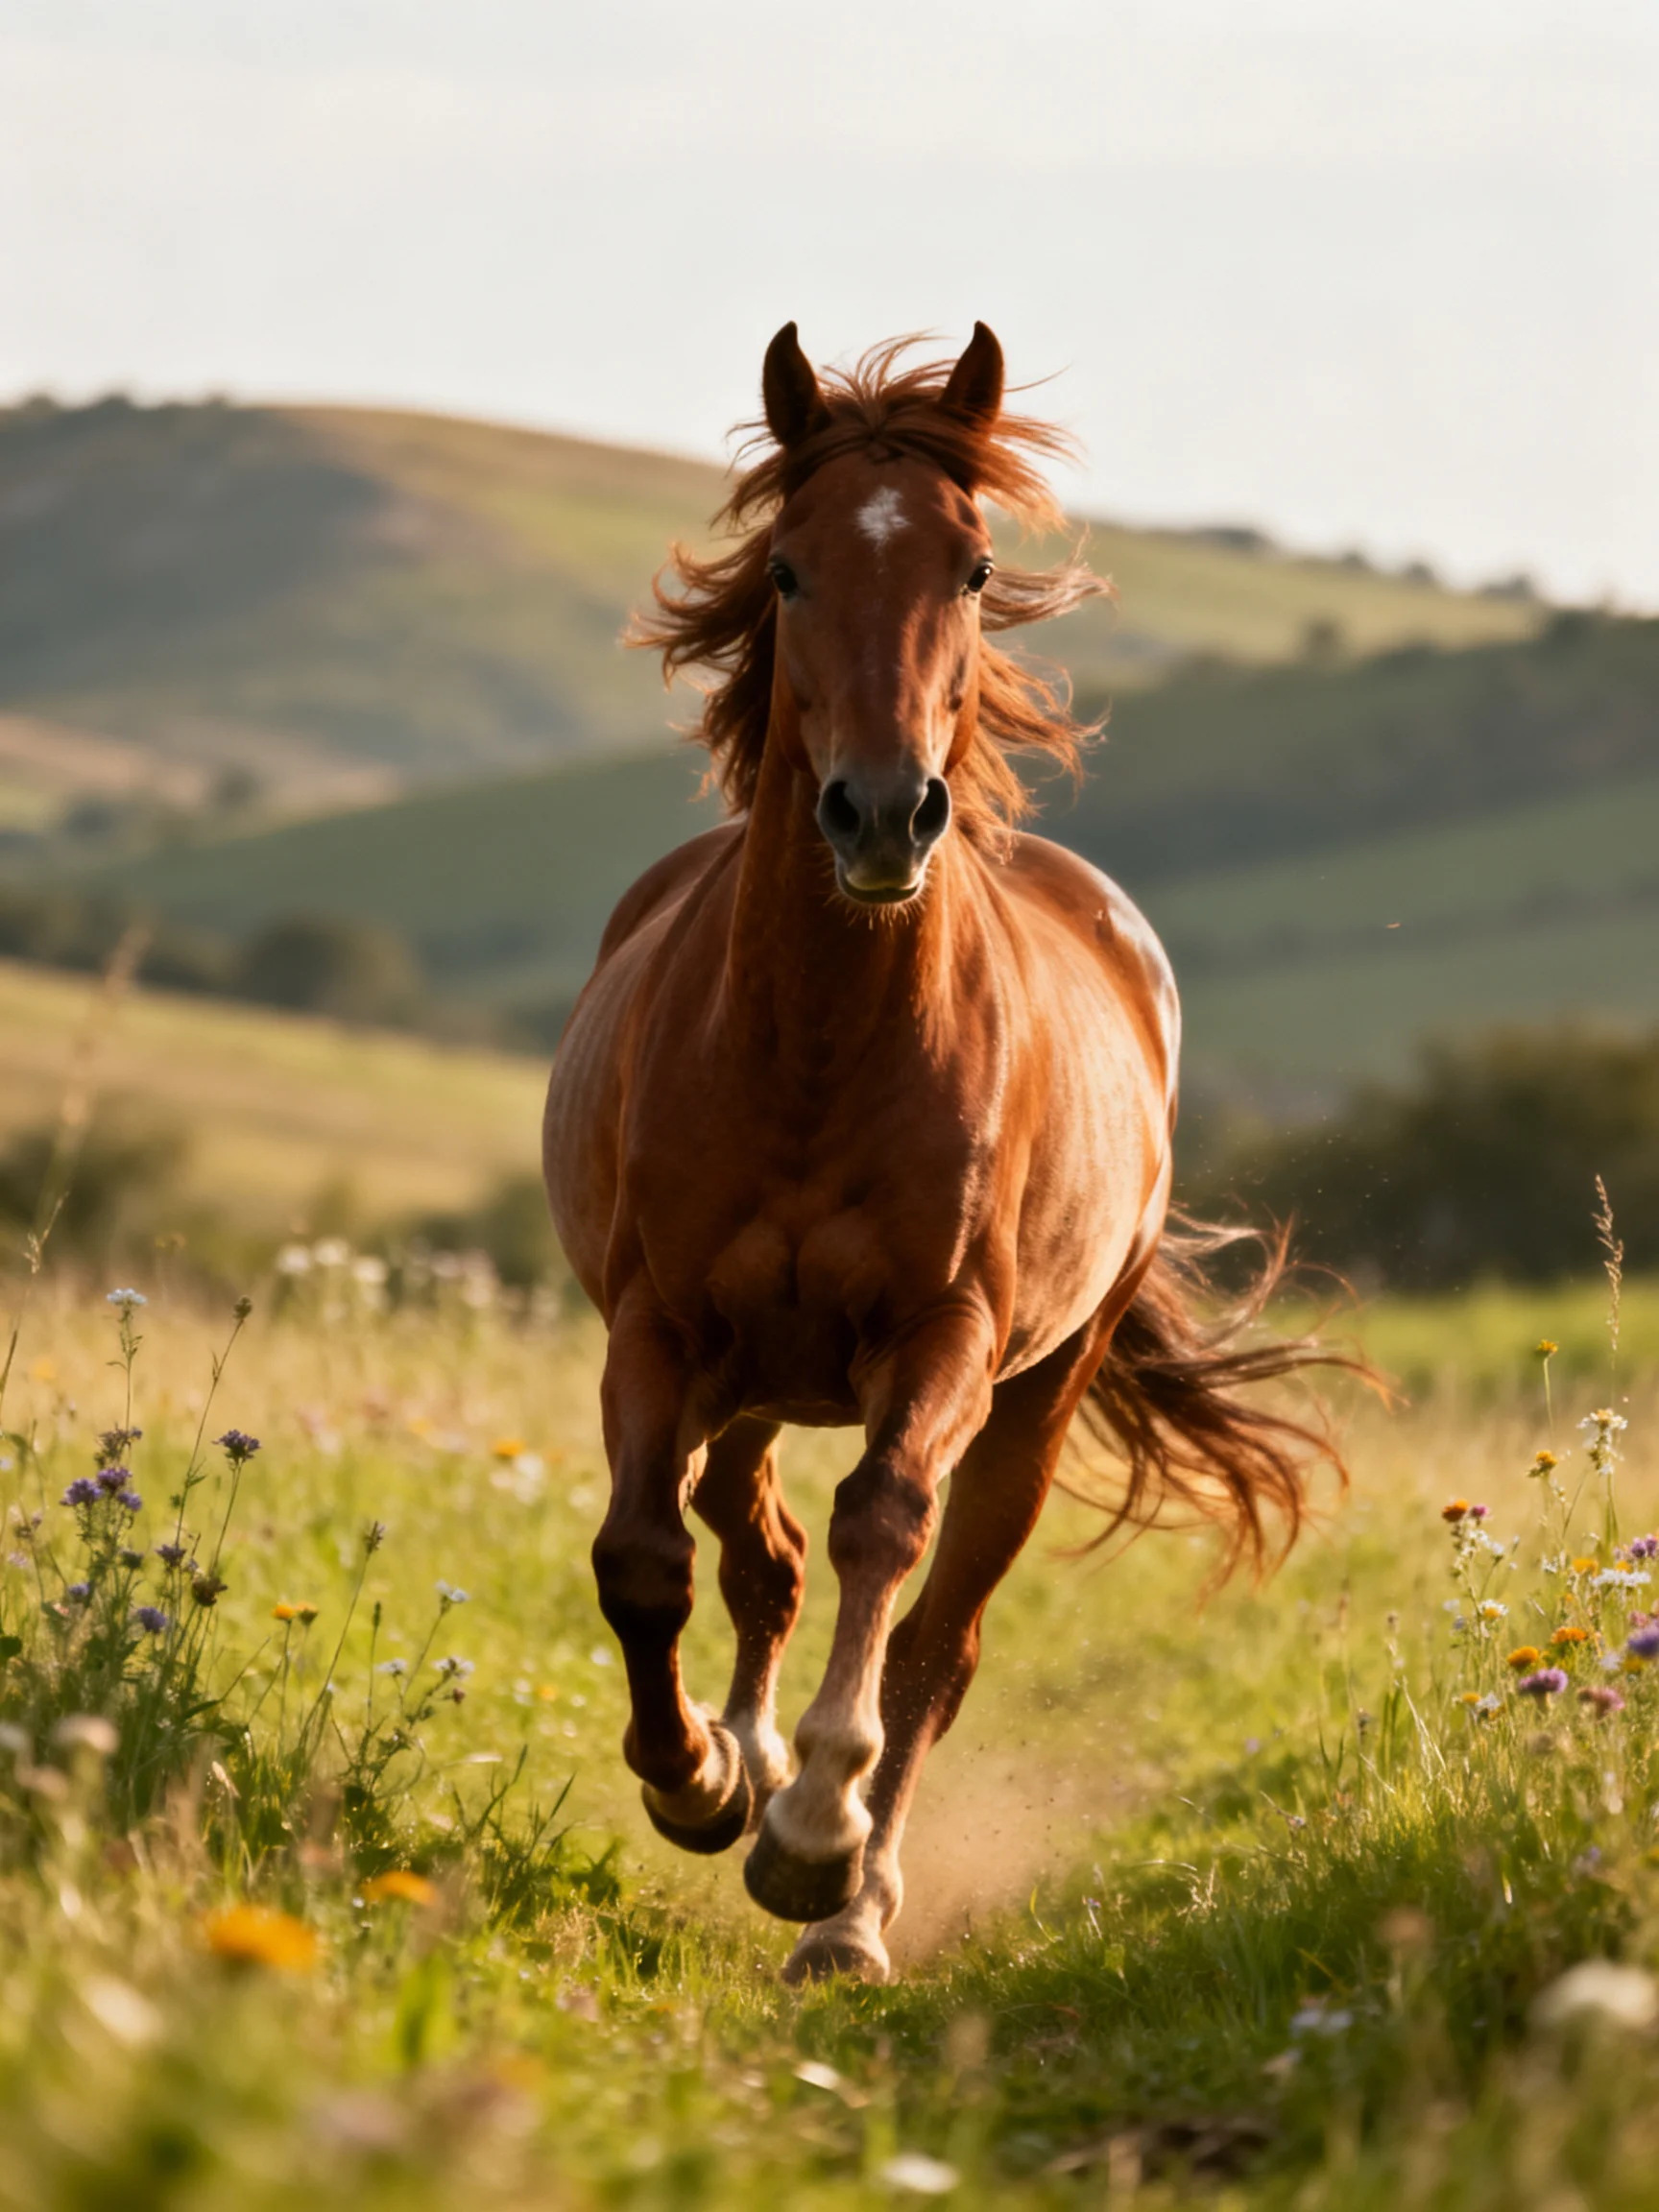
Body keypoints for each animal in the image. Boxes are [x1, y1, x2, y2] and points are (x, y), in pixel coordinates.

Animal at [542, 322, 1335, 1984]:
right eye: (787, 568)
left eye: (971, 567)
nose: (883, 815)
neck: (817, 1047)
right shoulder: (659, 1326)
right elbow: (642, 1558)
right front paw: (699, 1777)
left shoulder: (945, 1334)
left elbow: (883, 1538)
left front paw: (814, 1834)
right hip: (754, 1378)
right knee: (754, 1544)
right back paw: (743, 1759)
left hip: (1037, 1394)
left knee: (934, 1635)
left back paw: (850, 1906)